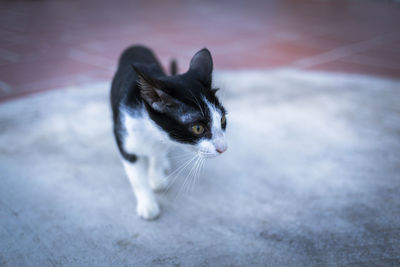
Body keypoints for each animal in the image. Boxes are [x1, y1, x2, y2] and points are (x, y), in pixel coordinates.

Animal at [111, 45, 227, 220]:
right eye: (198, 128)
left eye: (222, 120)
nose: (223, 148)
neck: (151, 130)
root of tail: (136, 46)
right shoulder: (124, 135)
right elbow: (137, 176)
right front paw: (147, 204)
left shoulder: (163, 139)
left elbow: (158, 154)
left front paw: (156, 177)